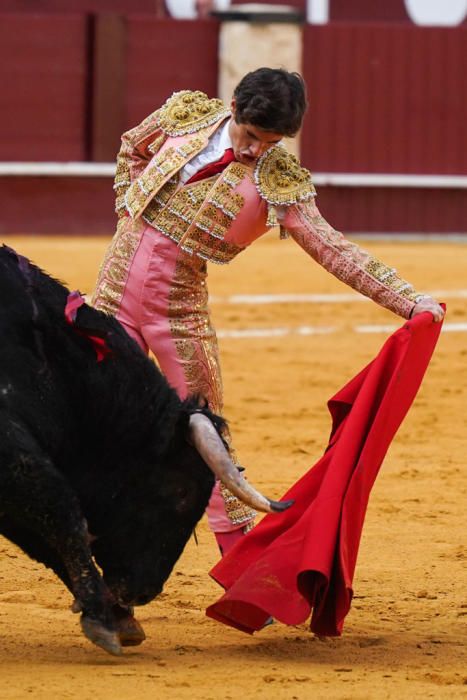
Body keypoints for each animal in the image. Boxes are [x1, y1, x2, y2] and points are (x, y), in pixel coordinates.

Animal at [0, 247, 290, 656]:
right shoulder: (12, 449)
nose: (142, 593)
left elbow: (45, 533)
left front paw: (117, 617)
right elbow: (60, 509)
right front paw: (104, 616)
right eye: (181, 493)